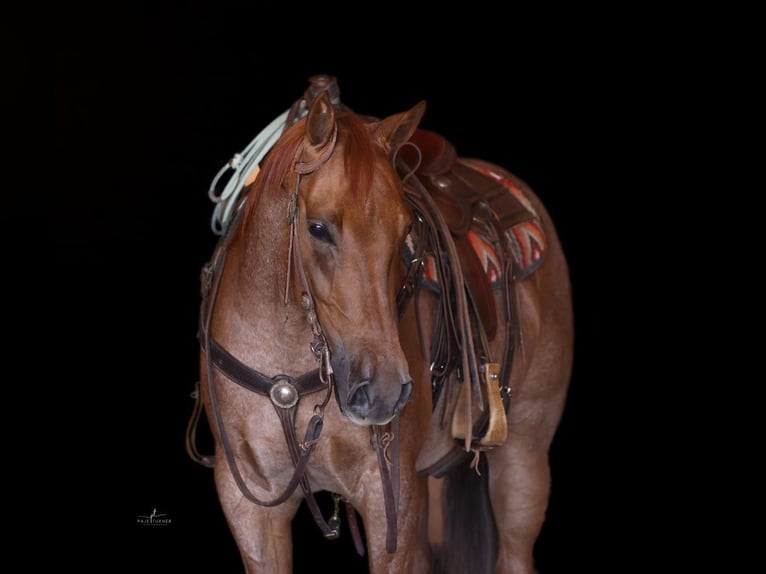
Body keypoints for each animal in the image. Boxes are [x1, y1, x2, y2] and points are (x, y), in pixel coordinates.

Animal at [191, 76, 573, 573]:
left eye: (406, 229)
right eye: (317, 228)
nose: (384, 391)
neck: (288, 364)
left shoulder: (390, 494)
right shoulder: (250, 508)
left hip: (523, 459)